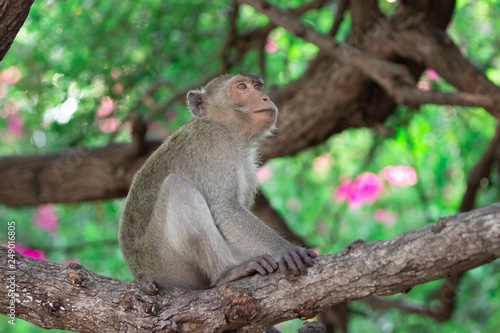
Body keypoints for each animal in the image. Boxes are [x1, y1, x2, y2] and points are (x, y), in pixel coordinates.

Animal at [118, 72, 316, 288]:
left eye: (257, 86)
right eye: (241, 87)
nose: (265, 98)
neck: (225, 127)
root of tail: (139, 275)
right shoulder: (214, 144)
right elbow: (226, 210)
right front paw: (284, 249)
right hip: (164, 264)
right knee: (177, 187)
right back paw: (226, 272)